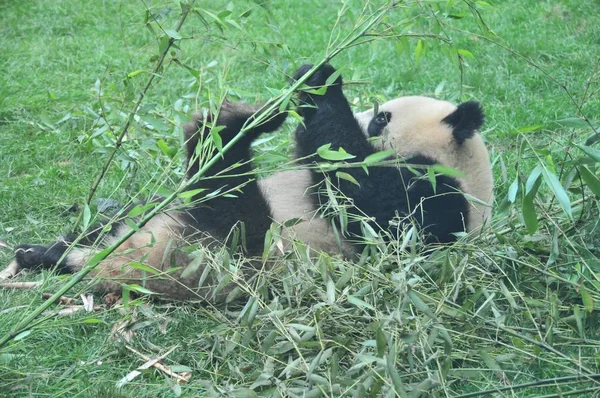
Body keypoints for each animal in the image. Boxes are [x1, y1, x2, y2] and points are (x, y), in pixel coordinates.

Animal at [2, 63, 494, 300]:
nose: (366, 116)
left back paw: (226, 128)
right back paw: (44, 251)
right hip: (164, 221)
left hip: (228, 249)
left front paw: (319, 84)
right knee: (128, 213)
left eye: (380, 118)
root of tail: (117, 268)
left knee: (229, 198)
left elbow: (364, 202)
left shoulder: (436, 202)